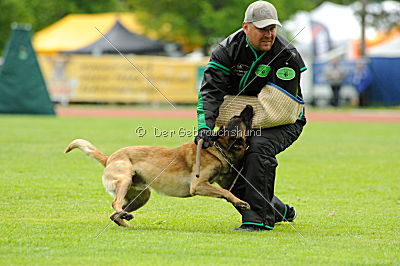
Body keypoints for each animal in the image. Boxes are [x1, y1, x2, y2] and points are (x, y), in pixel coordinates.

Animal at [65, 105, 253, 228]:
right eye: (241, 119)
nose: (249, 105)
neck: (218, 147)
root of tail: (109, 157)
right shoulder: (198, 185)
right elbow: (226, 192)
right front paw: (240, 202)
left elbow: (227, 188)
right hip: (125, 181)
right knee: (114, 203)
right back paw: (124, 215)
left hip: (141, 195)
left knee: (113, 214)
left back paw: (125, 220)